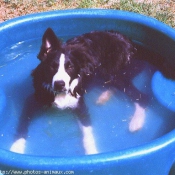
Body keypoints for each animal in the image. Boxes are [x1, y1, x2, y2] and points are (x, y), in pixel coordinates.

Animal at [9, 27, 175, 154]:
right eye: (52, 66)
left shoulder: (80, 106)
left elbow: (87, 134)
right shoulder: (32, 101)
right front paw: (16, 148)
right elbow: (22, 126)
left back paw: (136, 122)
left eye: (70, 67)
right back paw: (104, 97)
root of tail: (131, 43)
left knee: (142, 96)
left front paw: (92, 153)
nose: (60, 84)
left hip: (114, 73)